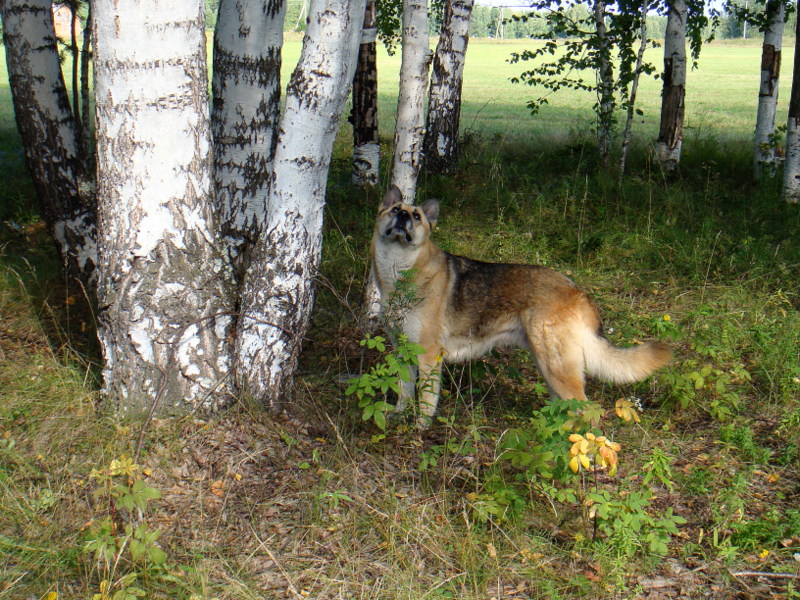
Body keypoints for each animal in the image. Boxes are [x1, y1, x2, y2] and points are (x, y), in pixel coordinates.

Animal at [372, 186, 672, 426]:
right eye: (396, 210)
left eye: (416, 217)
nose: (402, 217)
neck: (400, 273)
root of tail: (577, 290)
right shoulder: (403, 352)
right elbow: (404, 390)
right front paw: (398, 415)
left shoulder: (429, 356)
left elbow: (425, 402)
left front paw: (419, 432)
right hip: (548, 365)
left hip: (557, 367)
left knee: (588, 413)